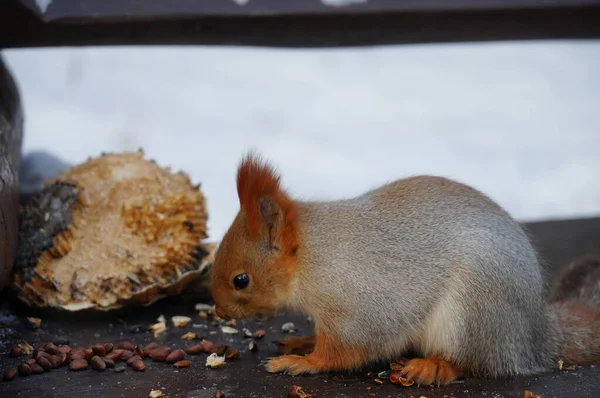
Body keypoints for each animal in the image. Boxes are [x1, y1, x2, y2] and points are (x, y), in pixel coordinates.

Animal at [209, 152, 600, 386]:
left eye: (241, 280)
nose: (219, 311)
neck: (311, 258)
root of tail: (535, 334)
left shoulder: (359, 309)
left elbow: (343, 351)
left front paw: (303, 362)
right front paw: (304, 342)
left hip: (473, 313)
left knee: (475, 362)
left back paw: (434, 366)